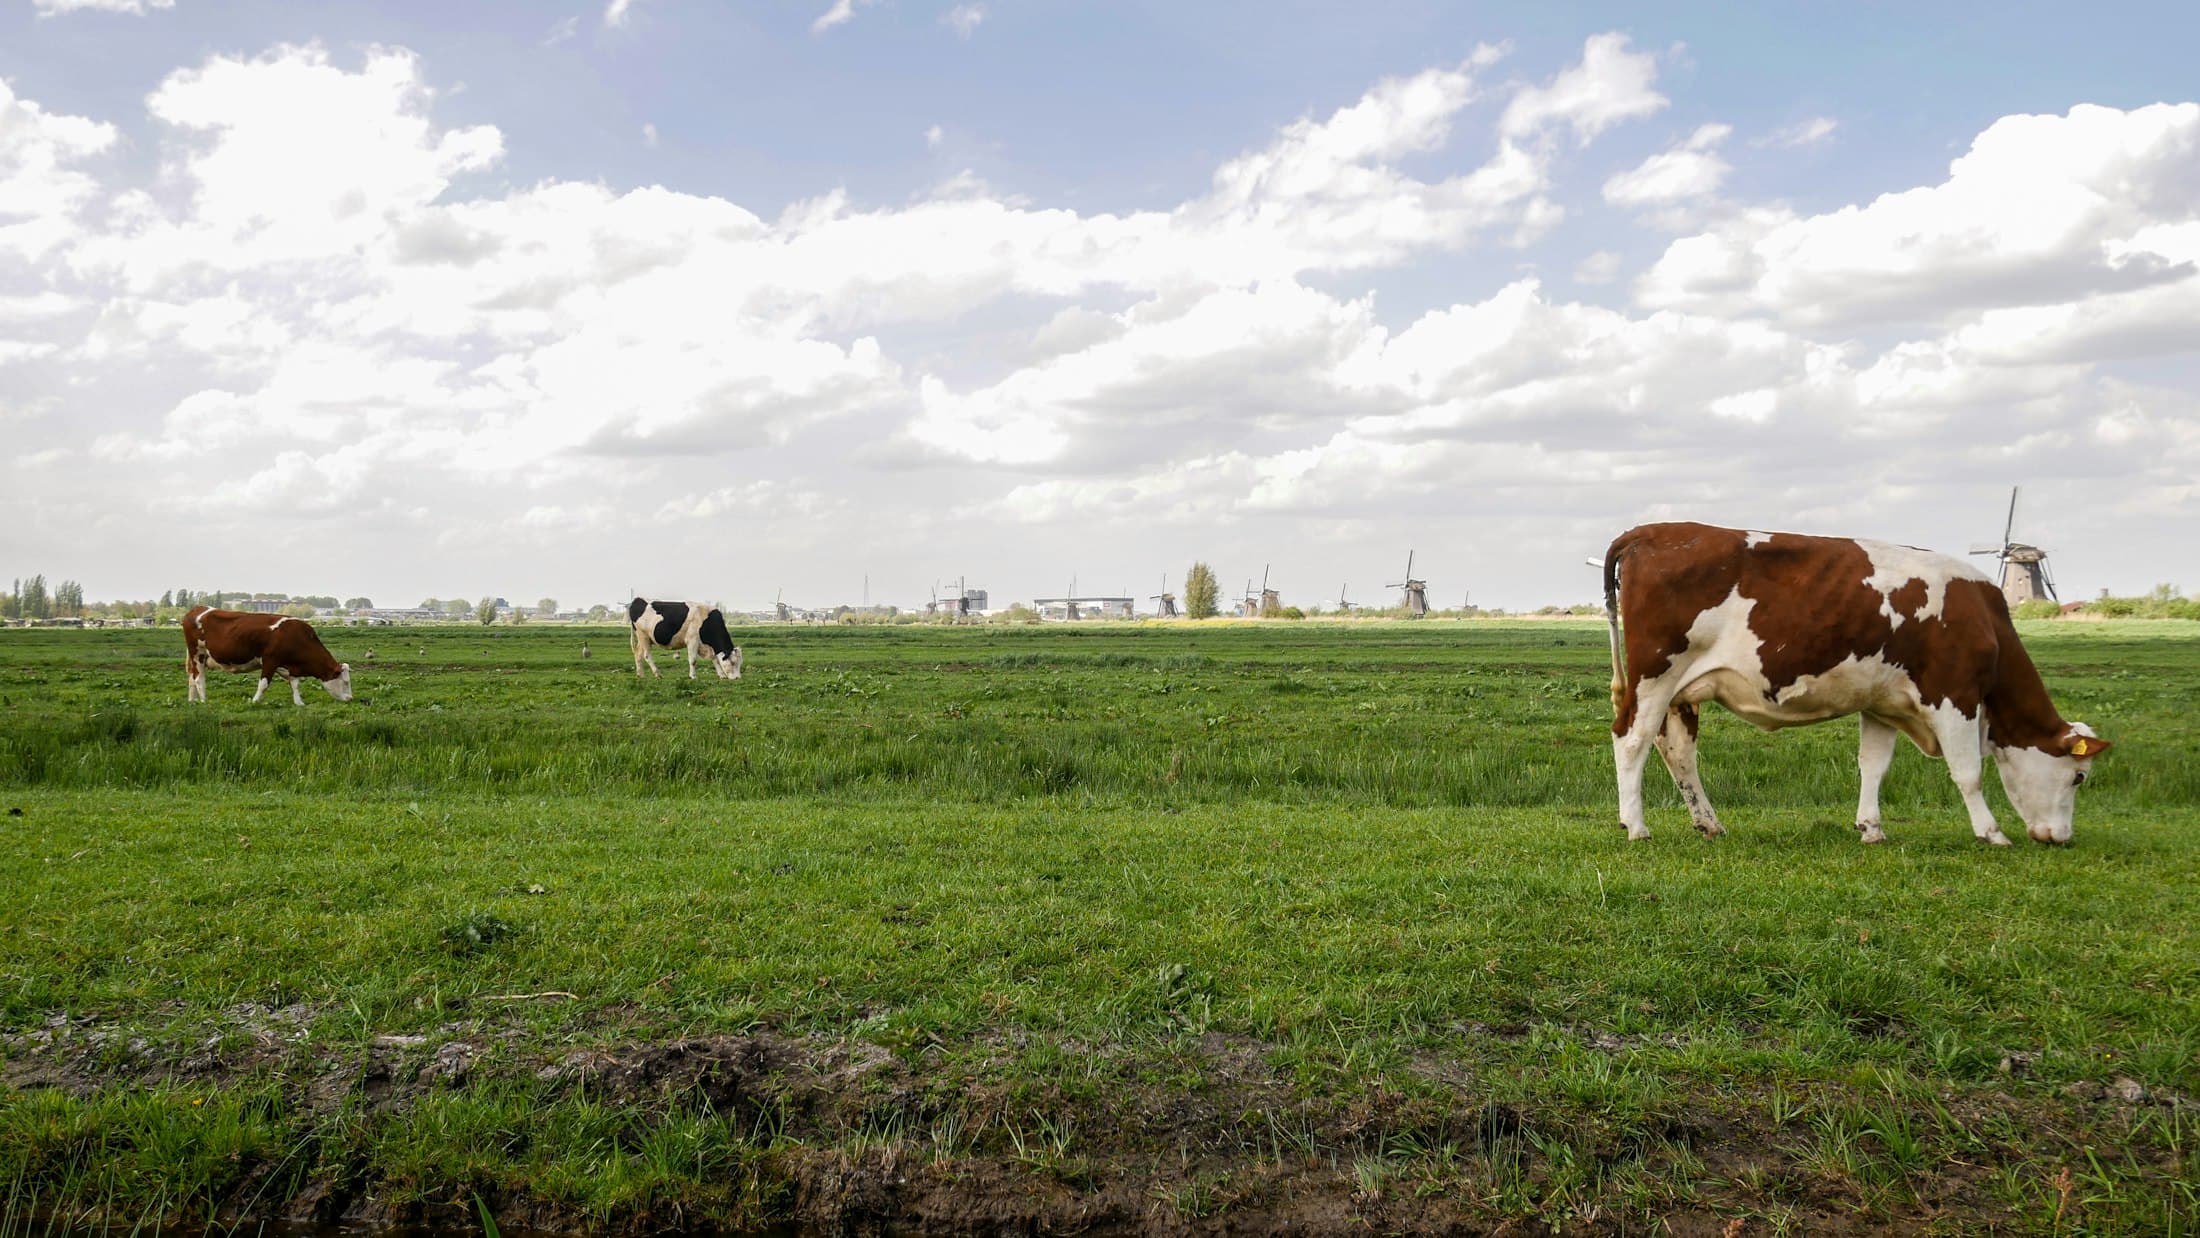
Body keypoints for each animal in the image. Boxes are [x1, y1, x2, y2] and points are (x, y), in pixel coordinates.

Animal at [183, 607, 354, 705]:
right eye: (345, 682)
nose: (350, 699)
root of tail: (197, 609)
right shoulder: (270, 661)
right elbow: (264, 684)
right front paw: (254, 701)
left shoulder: (289, 666)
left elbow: (295, 684)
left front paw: (299, 703)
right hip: (198, 653)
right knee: (198, 679)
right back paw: (204, 701)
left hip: (197, 657)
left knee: (191, 677)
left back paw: (192, 701)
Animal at [1604, 523, 2109, 847]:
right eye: (2079, 777)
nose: (2062, 839)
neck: (1985, 619)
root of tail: (1648, 531)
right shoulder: (1955, 695)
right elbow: (1968, 771)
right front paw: (1991, 832)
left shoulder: (1882, 703)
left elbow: (1874, 767)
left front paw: (1871, 828)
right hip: (1655, 676)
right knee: (1631, 740)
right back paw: (1636, 826)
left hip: (1682, 691)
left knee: (1677, 752)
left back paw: (1708, 824)